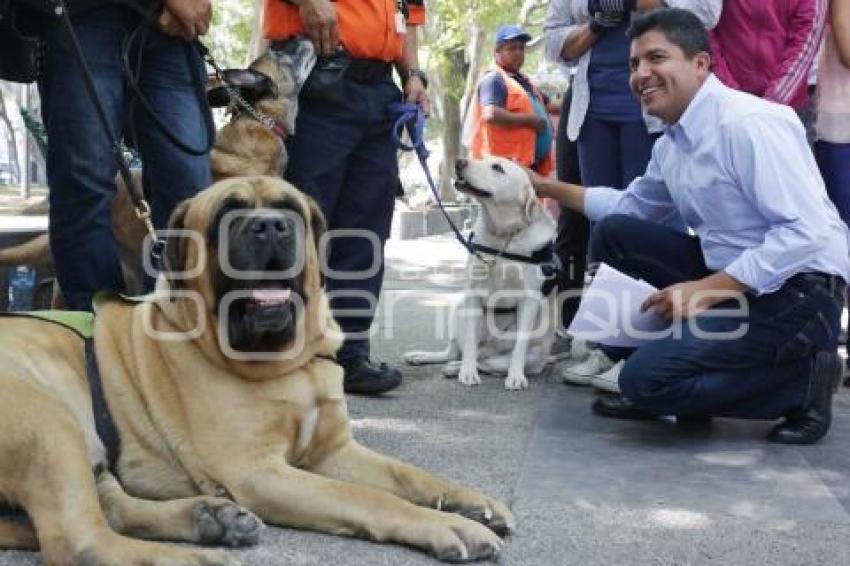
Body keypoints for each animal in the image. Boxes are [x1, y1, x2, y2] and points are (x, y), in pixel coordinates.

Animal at [402, 158, 556, 392]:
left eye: (498, 167)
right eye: (483, 159)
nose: (459, 161)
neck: (501, 237)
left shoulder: (529, 300)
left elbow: (519, 347)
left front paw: (516, 376)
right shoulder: (473, 293)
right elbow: (470, 343)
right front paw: (468, 372)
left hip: (532, 355)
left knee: (489, 362)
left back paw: (455, 367)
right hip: (459, 308)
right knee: (458, 352)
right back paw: (428, 358)